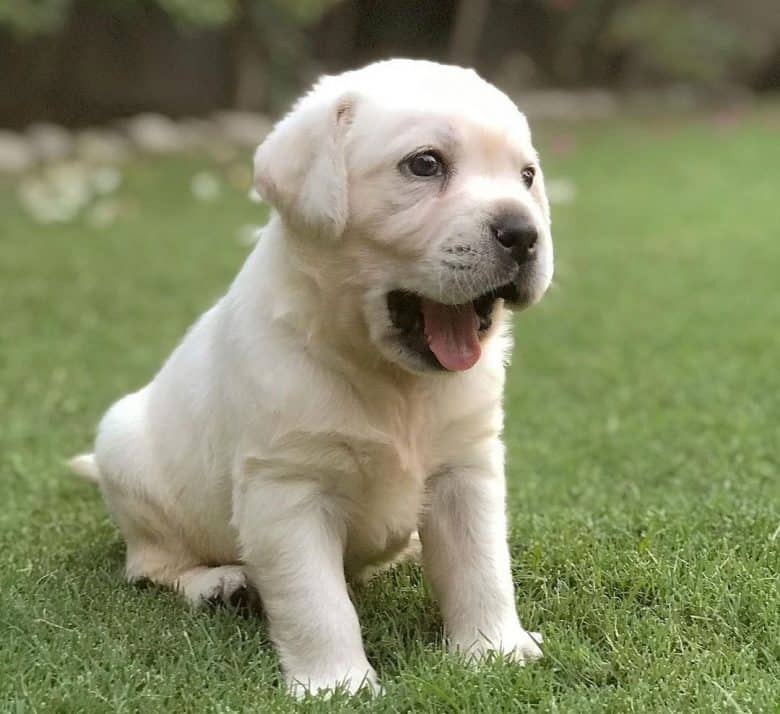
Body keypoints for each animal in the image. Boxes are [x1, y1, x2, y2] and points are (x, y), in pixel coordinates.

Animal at [70, 59, 552, 696]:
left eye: (526, 176)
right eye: (424, 164)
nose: (524, 234)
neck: (392, 380)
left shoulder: (466, 470)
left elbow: (482, 567)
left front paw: (494, 648)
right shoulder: (287, 491)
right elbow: (317, 601)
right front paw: (338, 683)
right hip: (127, 459)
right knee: (151, 563)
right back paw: (216, 584)